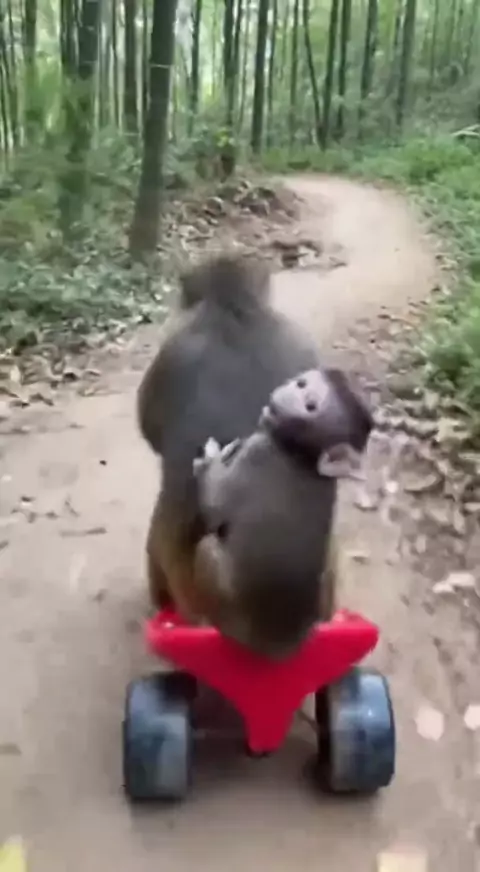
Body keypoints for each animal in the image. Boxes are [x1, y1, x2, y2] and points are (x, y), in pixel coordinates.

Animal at [192, 367, 373, 658]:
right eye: (301, 384)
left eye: (311, 406)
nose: (286, 396)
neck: (302, 457)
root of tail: (282, 645)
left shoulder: (257, 451)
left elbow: (213, 505)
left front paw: (211, 460)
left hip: (228, 614)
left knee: (206, 547)